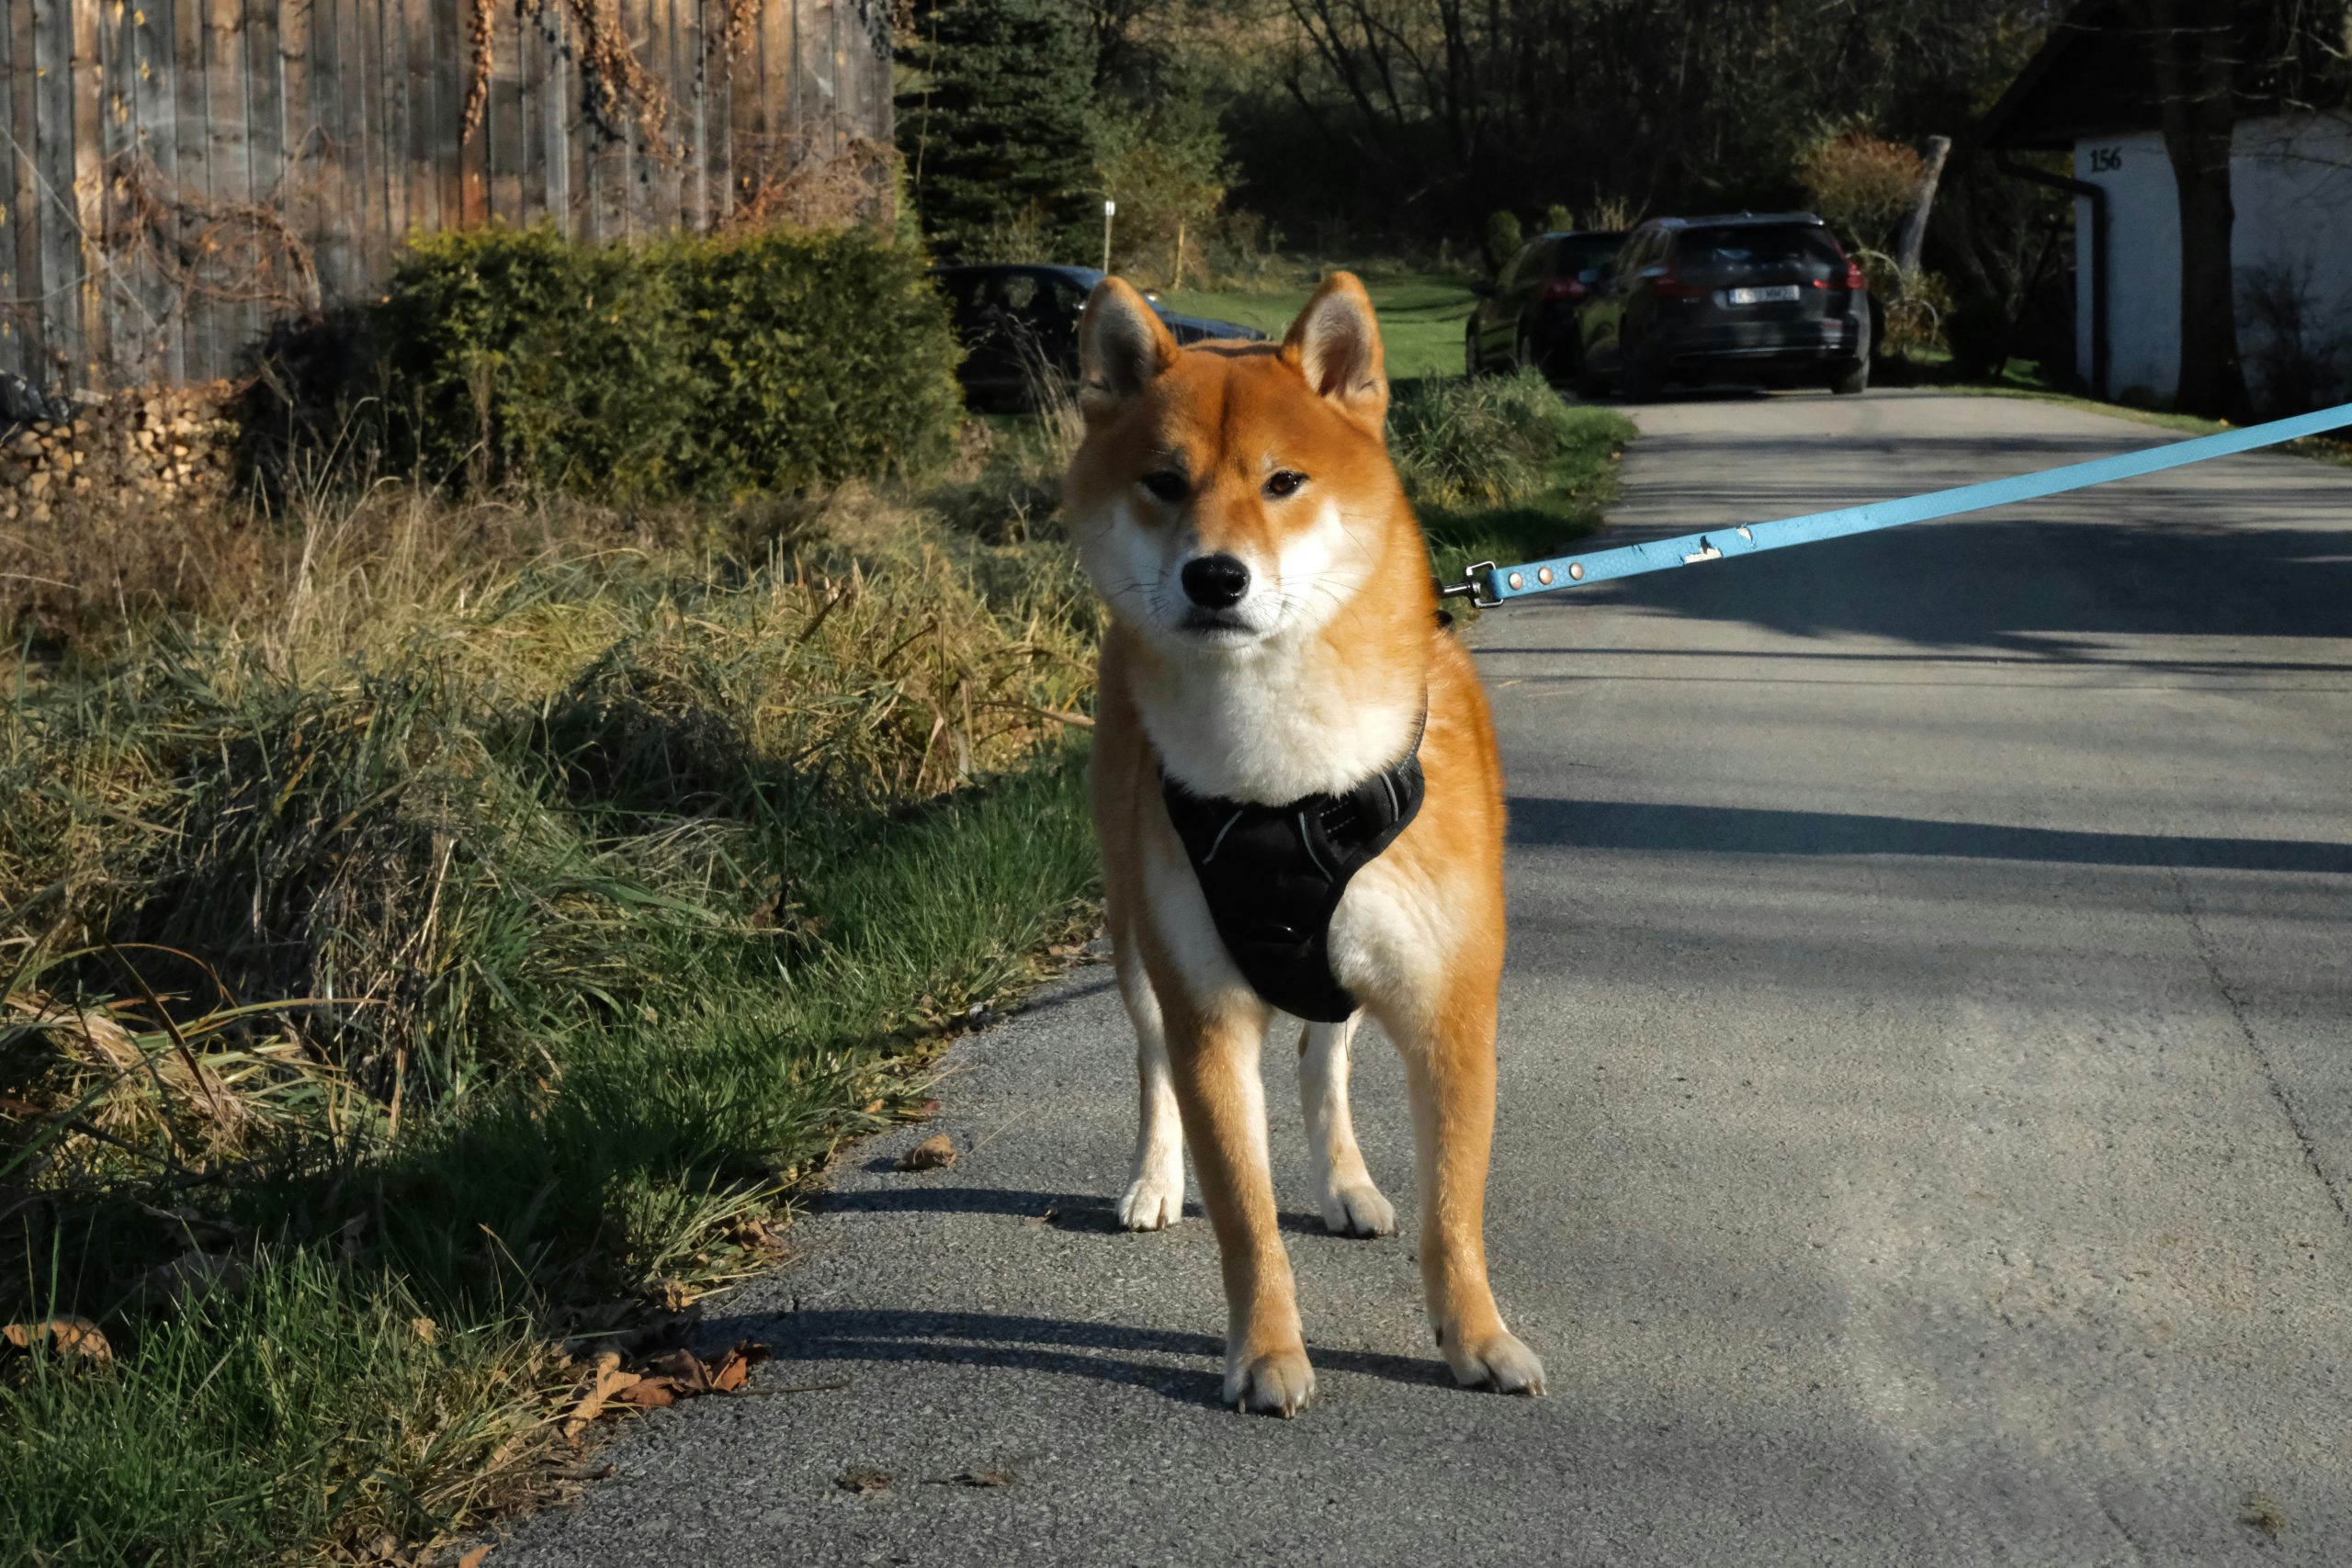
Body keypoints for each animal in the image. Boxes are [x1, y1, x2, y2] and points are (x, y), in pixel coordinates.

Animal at [1068, 276, 1543, 1419]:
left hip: (1349, 964)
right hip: (1134, 946)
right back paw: (1154, 1180)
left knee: (1322, 1058)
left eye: (1283, 482)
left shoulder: (1450, 1012)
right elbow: (1244, 1216)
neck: (1283, 784)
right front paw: (1267, 1352)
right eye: (1163, 482)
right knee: (1151, 1065)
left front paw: (1475, 1337)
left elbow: (1453, 1208)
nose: (1214, 576)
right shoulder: (1206, 1020)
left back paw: (1346, 1184)